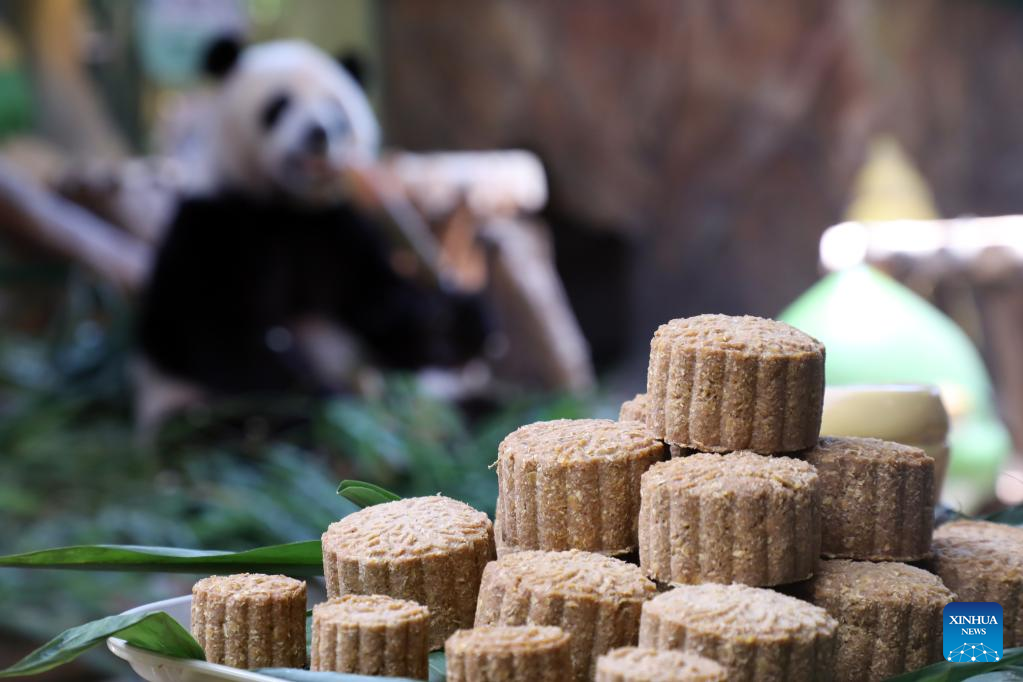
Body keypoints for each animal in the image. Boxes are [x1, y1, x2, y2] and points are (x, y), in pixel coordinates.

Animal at [139, 38, 491, 400]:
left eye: (336, 112)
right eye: (279, 105)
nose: (319, 132)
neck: (287, 206)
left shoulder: (338, 228)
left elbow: (381, 304)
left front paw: (459, 321)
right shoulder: (217, 221)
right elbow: (214, 327)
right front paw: (320, 389)